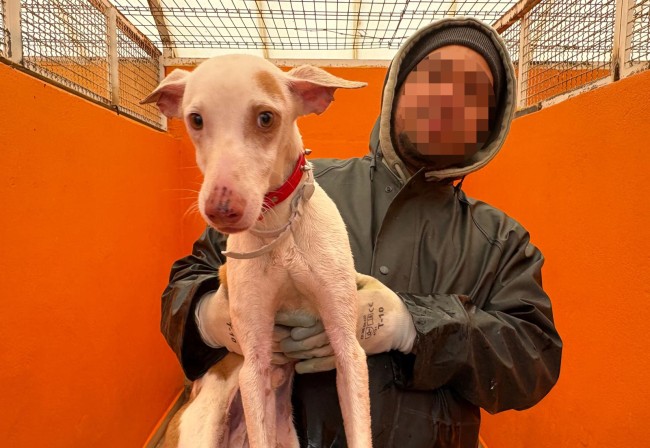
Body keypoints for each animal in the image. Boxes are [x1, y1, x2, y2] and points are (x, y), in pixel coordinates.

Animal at [142, 54, 371, 447]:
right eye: (196, 119)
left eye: (266, 118)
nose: (221, 208)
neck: (279, 229)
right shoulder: (255, 366)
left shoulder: (348, 350)